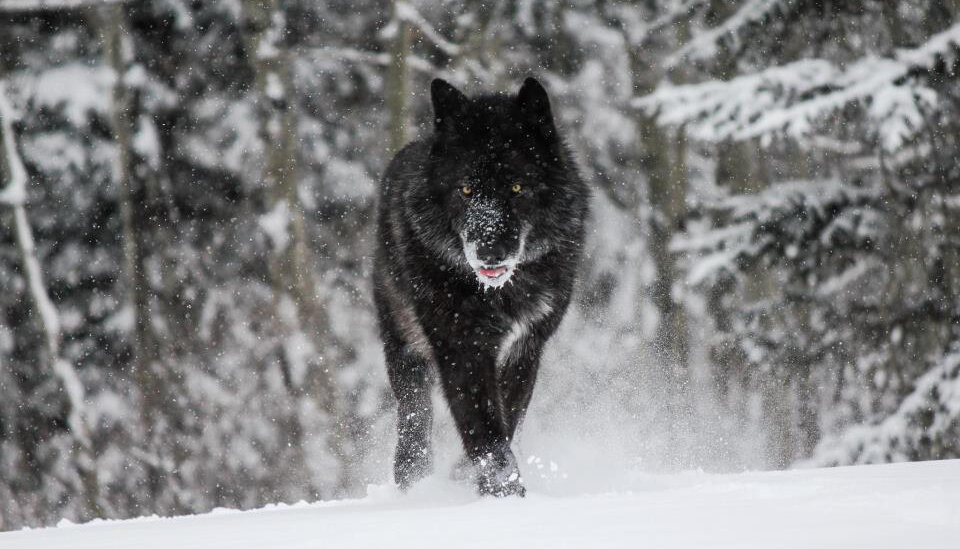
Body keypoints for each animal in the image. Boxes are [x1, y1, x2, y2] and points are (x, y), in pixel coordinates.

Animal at [374, 78, 584, 496]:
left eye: (517, 187)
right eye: (466, 190)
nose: (489, 252)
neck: (500, 294)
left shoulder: (526, 347)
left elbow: (508, 417)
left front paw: (472, 478)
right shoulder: (462, 349)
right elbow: (485, 432)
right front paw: (504, 494)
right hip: (402, 345)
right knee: (414, 412)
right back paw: (413, 479)